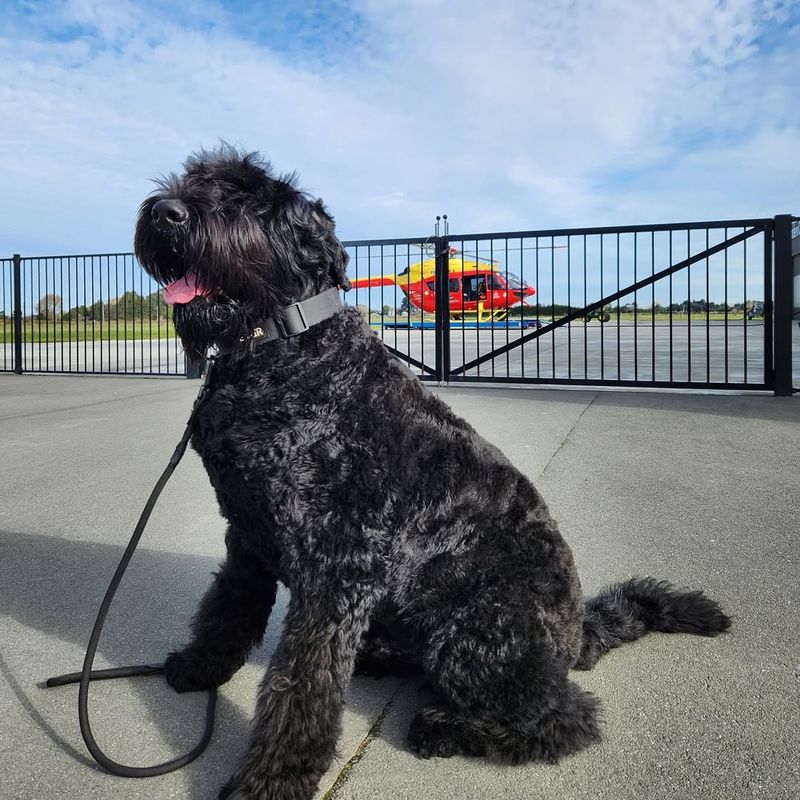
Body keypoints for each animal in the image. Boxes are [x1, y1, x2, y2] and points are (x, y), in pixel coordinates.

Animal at [134, 147, 736, 796]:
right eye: (193, 179)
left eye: (244, 197)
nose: (166, 214)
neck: (286, 352)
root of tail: (577, 633)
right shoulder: (246, 535)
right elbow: (226, 609)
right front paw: (198, 668)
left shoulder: (336, 569)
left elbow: (300, 687)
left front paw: (268, 783)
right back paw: (378, 658)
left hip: (475, 632)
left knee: (564, 718)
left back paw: (442, 727)